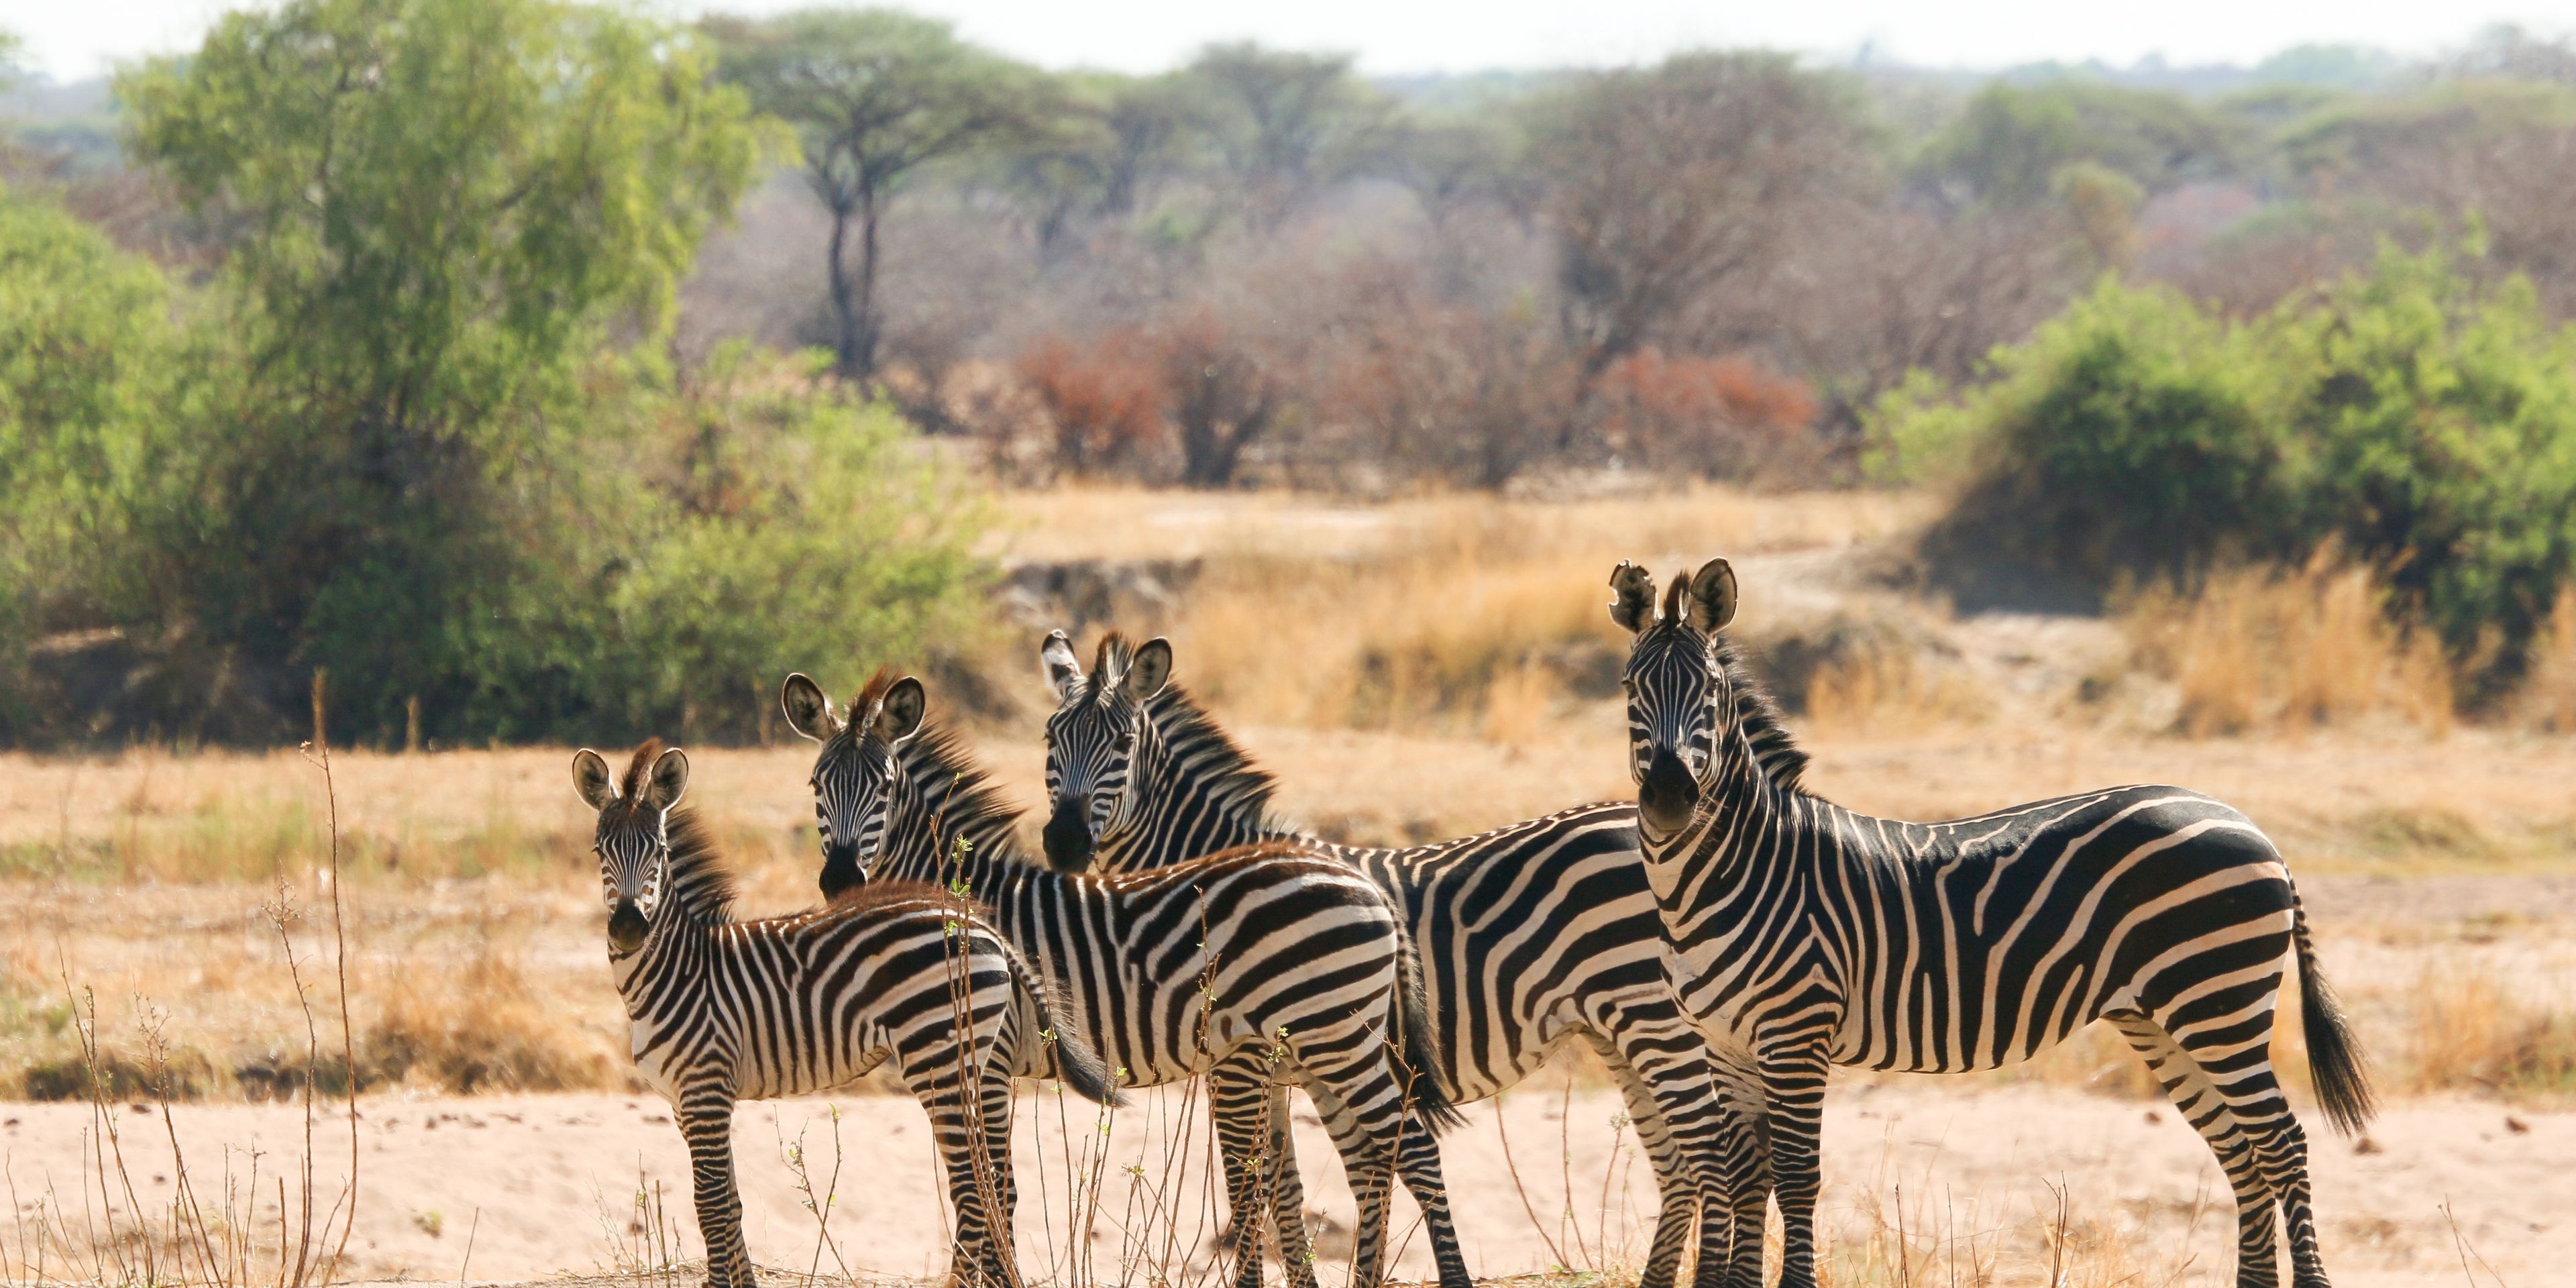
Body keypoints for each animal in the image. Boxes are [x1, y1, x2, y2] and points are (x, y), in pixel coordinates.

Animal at [572, 740, 1120, 1288]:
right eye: (599, 851)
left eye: (660, 853)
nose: (628, 928)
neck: (680, 969)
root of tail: (979, 923)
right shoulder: (686, 1103)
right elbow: (729, 1208)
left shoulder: (706, 1089)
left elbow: (709, 1207)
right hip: (968, 1063)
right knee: (987, 1185)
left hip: (938, 1058)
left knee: (972, 1190)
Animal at [779, 670, 1475, 1288]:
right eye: (815, 783)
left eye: (883, 787)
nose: (840, 882)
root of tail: (1363, 883)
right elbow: (991, 1187)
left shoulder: (985, 1057)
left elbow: (989, 1186)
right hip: (1330, 1040)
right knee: (1379, 1154)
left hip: (1335, 1034)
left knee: (1413, 1148)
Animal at [1036, 629, 1772, 1288]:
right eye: (1049, 741)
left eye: (1122, 746)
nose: (1064, 844)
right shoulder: (1279, 1067)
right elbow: (1285, 1183)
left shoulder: (1239, 1058)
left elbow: (1259, 1178)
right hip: (1617, 1030)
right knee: (1679, 1165)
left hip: (1663, 1024)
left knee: (1719, 1156)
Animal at [1606, 557, 2377, 1288]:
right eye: (1629, 687)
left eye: (1709, 694)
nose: (1671, 798)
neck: (1730, 872)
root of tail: (2249, 824)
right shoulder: (1726, 1044)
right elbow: (1745, 1180)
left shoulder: (1796, 1034)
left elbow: (1795, 1178)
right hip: (2165, 1019)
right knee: (2241, 1153)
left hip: (2219, 1004)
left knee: (2281, 1144)